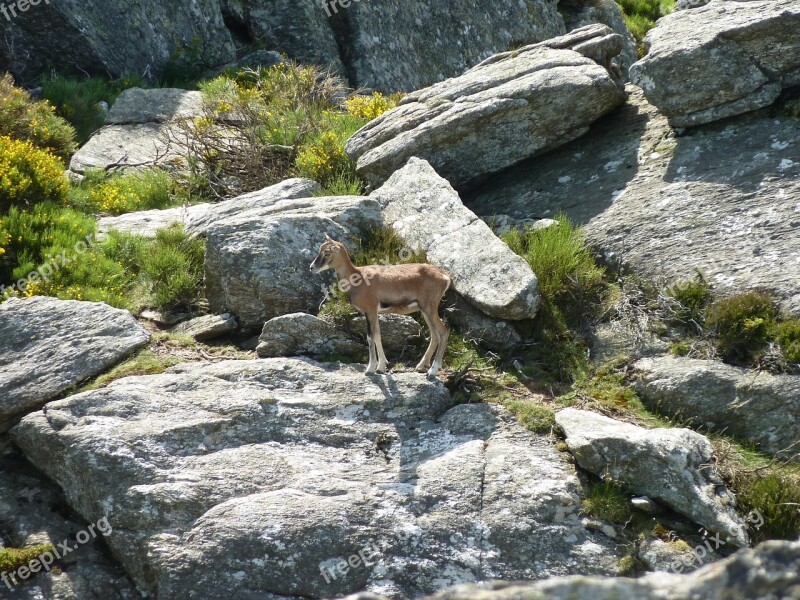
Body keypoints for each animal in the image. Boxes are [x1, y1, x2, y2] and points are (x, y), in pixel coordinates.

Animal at [310, 234, 450, 376]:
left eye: (327, 253)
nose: (312, 267)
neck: (358, 279)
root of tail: (445, 277)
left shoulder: (370, 311)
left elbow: (370, 337)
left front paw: (370, 369)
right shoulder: (375, 313)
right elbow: (378, 336)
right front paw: (381, 368)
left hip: (429, 308)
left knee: (443, 332)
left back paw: (432, 371)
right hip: (425, 311)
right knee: (434, 335)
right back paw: (421, 366)